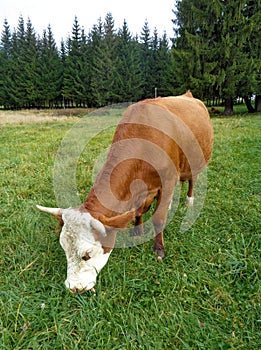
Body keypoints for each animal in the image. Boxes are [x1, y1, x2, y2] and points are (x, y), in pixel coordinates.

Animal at [37, 91, 214, 294]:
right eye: (64, 248)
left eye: (87, 254)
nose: (73, 287)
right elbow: (137, 212)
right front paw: (137, 232)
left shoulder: (168, 180)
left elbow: (158, 218)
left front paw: (159, 249)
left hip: (196, 161)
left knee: (193, 180)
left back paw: (189, 201)